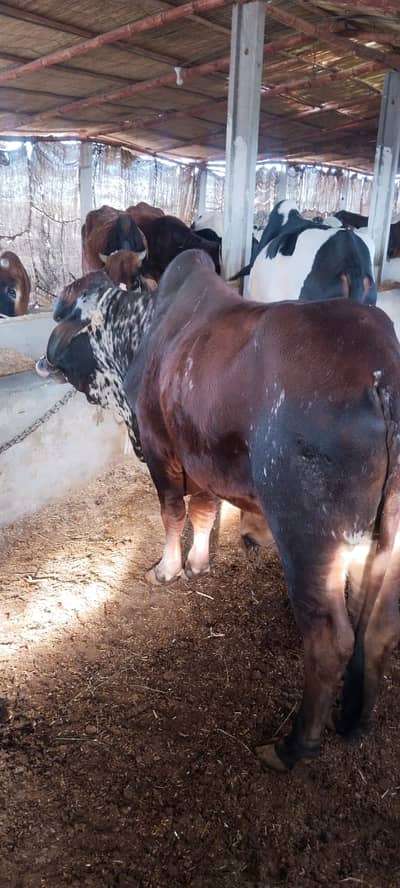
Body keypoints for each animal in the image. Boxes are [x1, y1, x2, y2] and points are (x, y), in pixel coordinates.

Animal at [37, 249, 400, 773]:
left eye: (65, 316)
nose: (44, 358)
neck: (141, 332)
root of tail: (381, 373)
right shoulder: (201, 459)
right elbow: (205, 513)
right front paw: (199, 564)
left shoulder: (160, 449)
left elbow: (172, 513)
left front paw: (166, 569)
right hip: (384, 538)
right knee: (380, 626)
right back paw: (354, 720)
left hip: (310, 536)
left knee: (331, 639)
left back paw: (292, 747)